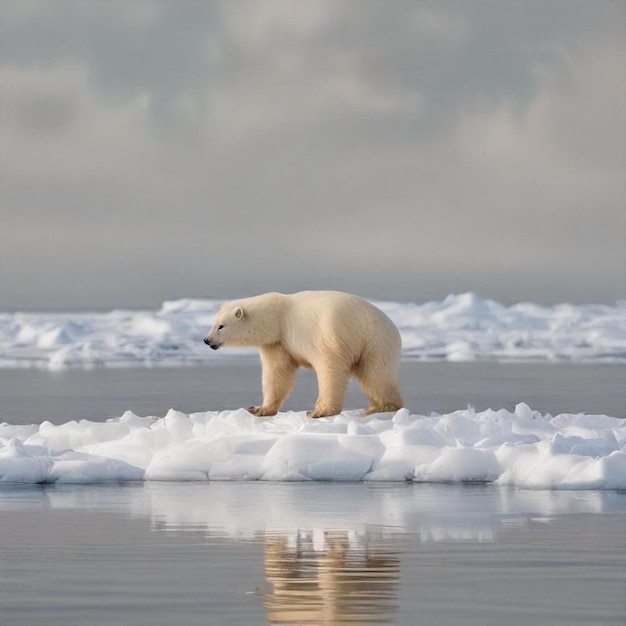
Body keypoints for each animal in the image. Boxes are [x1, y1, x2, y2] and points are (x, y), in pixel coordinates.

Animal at [202, 290, 402, 416]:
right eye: (213, 323)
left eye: (221, 326)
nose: (207, 340)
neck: (278, 317)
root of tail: (394, 329)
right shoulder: (278, 342)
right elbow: (277, 373)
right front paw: (259, 409)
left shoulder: (325, 334)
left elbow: (330, 368)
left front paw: (320, 411)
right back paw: (375, 407)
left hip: (374, 340)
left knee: (374, 374)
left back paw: (385, 406)